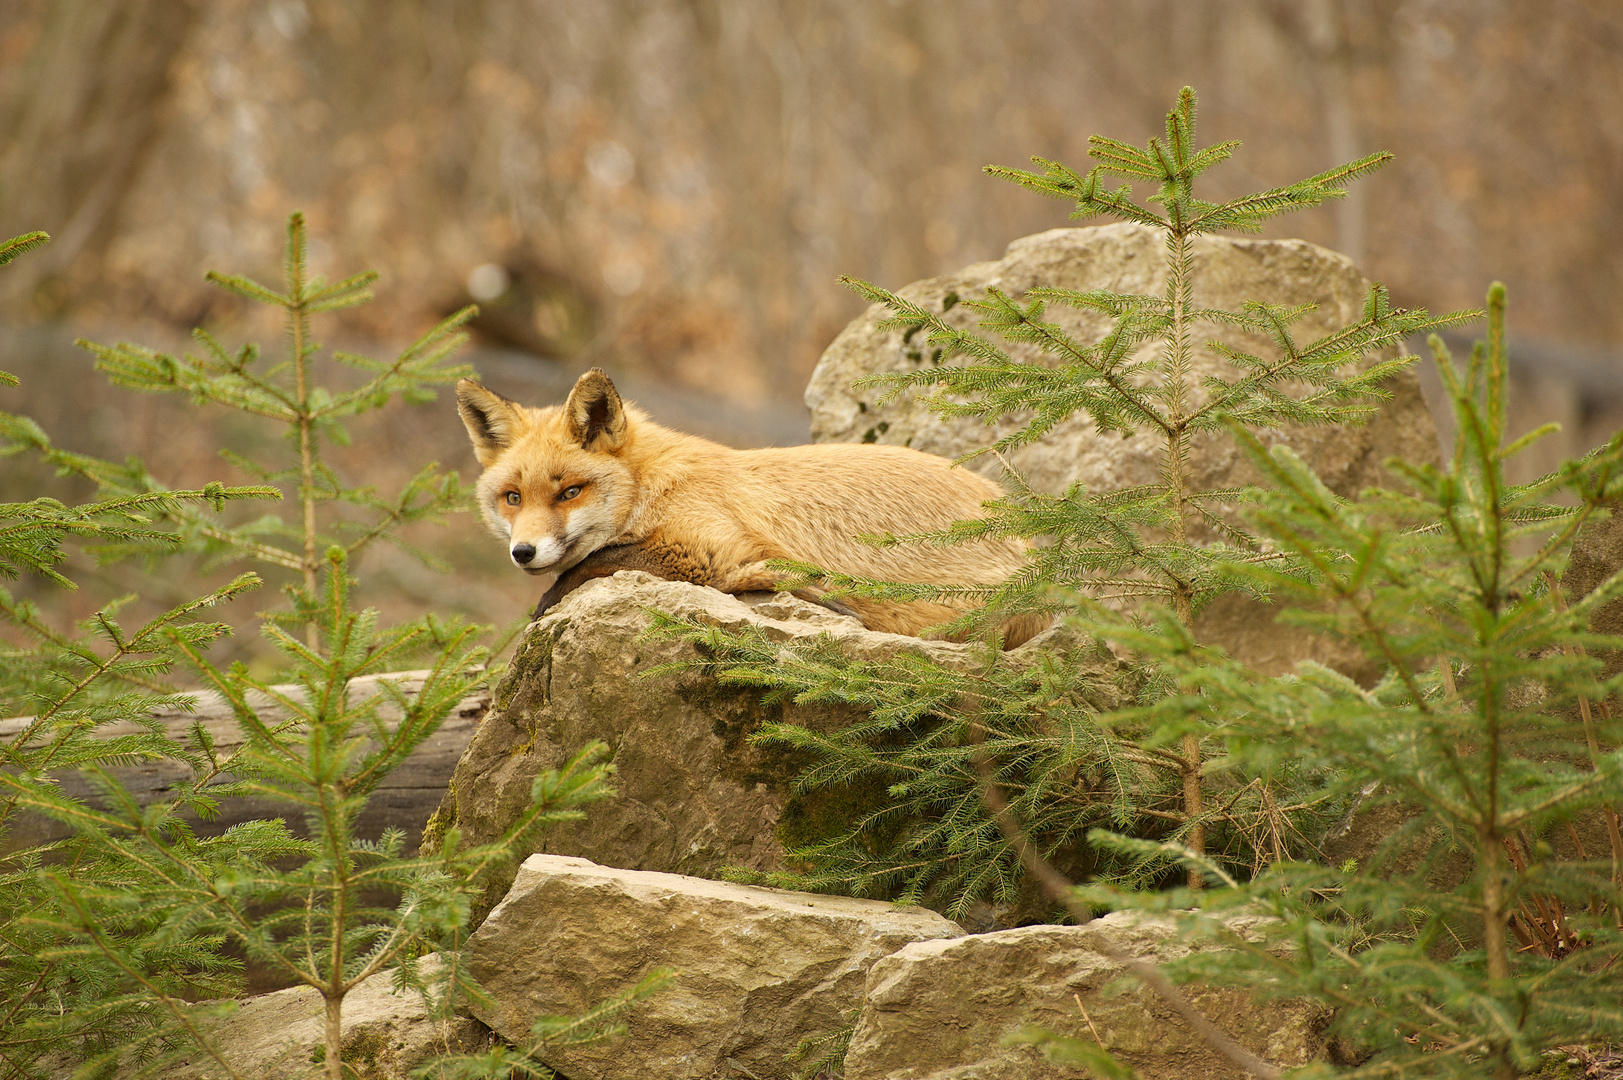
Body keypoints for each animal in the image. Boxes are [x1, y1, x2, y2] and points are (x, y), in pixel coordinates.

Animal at [454, 367, 1038, 643]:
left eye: (569, 492)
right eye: (513, 498)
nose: (523, 552)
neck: (652, 484)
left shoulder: (708, 547)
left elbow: (592, 566)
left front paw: (545, 604)